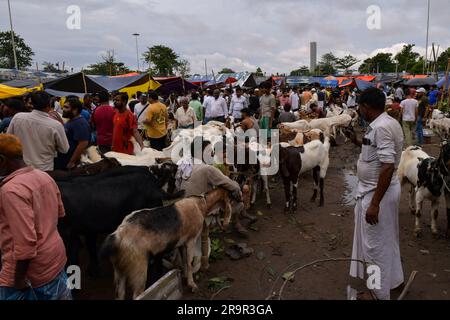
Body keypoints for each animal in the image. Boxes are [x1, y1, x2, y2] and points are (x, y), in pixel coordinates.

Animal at [102, 188, 236, 300]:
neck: (201, 204)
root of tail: (117, 235)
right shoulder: (190, 240)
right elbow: (189, 262)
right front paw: (192, 284)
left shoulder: (181, 243)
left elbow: (184, 262)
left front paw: (184, 276)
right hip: (138, 270)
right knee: (137, 295)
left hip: (119, 270)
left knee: (119, 294)